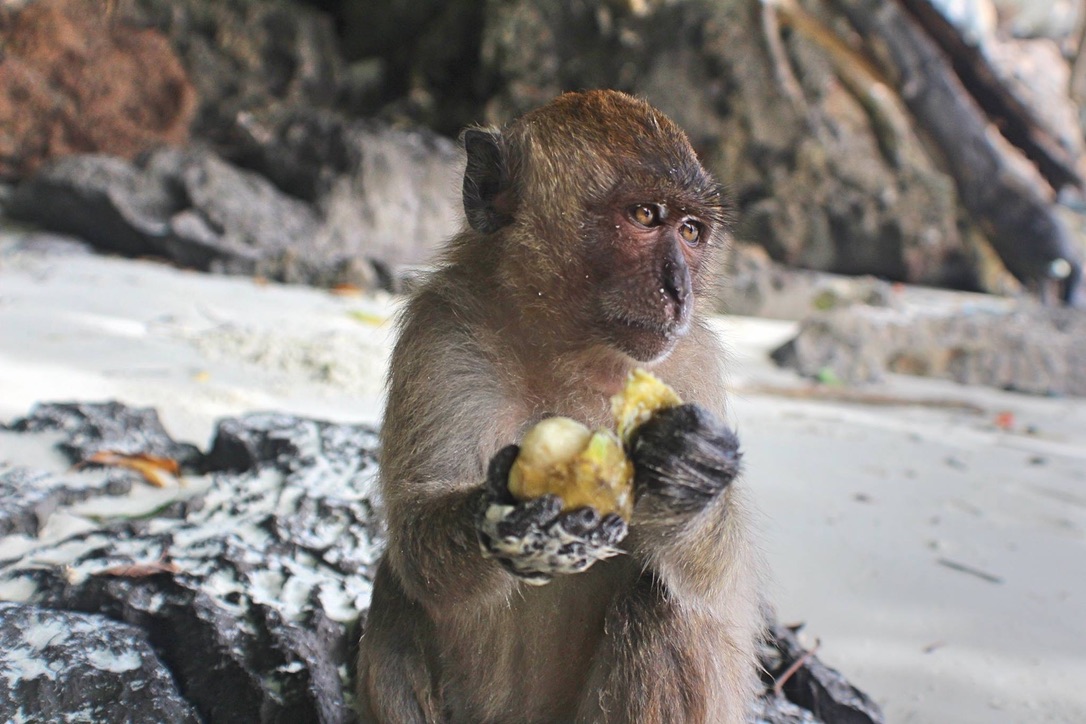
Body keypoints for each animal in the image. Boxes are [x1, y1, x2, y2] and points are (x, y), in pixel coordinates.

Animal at [356, 90, 764, 724]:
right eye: (645, 217)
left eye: (692, 230)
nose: (680, 291)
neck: (570, 355)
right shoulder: (441, 332)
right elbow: (417, 545)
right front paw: (506, 509)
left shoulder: (690, 362)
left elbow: (721, 591)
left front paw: (689, 472)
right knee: (395, 586)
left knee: (661, 602)